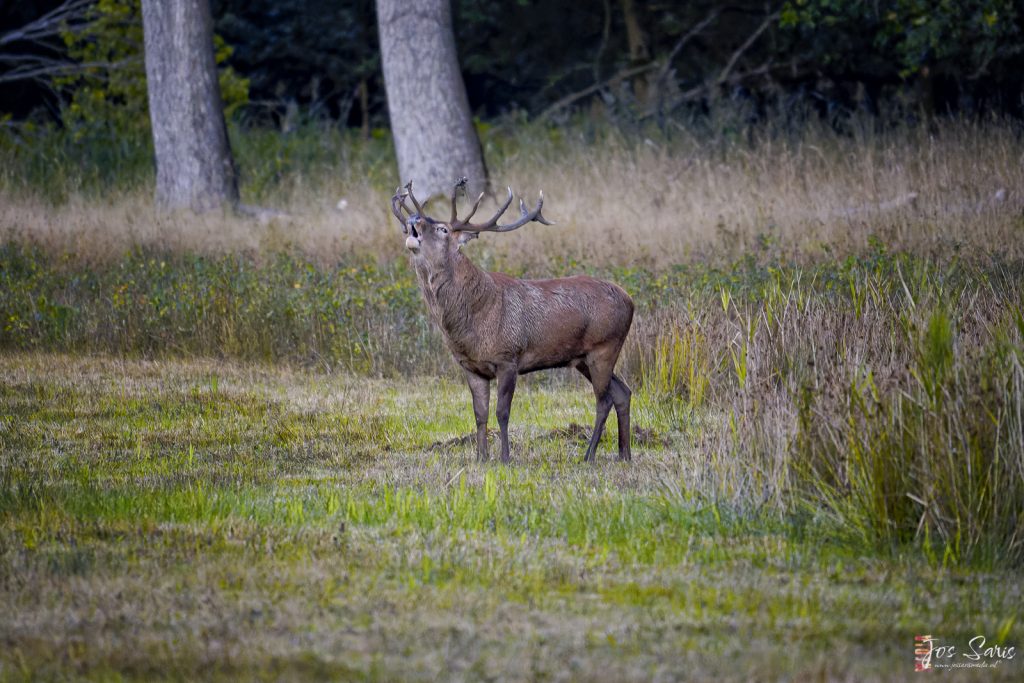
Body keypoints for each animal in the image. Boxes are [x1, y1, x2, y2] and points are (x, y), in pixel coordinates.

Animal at [389, 178, 630, 464]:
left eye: (443, 229)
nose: (413, 219)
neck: (473, 322)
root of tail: (630, 300)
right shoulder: (470, 366)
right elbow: (479, 414)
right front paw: (481, 457)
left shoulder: (508, 357)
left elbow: (502, 412)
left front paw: (505, 457)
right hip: (583, 358)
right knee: (622, 392)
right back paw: (625, 453)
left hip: (604, 347)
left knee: (604, 400)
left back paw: (589, 455)